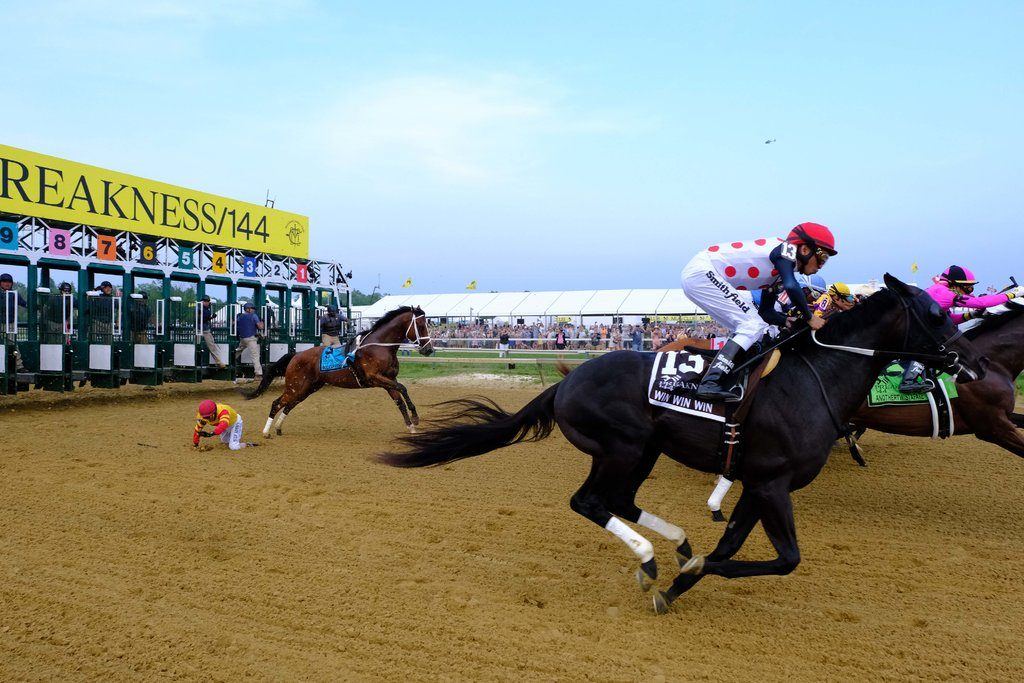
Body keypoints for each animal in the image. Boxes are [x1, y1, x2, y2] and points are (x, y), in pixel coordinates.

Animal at [239, 305, 432, 436]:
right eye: (421, 325)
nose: (429, 349)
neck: (379, 346)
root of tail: (295, 355)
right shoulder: (375, 377)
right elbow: (403, 389)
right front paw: (415, 418)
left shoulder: (388, 381)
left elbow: (400, 400)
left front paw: (411, 426)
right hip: (295, 387)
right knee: (277, 403)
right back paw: (266, 431)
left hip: (307, 389)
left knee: (289, 405)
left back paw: (278, 428)